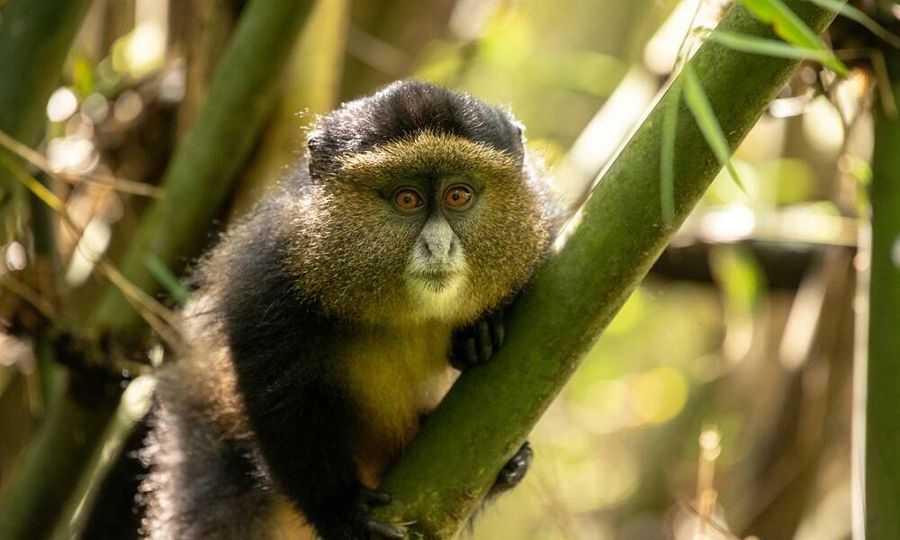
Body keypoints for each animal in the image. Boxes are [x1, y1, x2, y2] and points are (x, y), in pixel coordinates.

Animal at [139, 80, 559, 540]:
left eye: (458, 195)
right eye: (407, 199)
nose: (439, 246)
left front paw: (481, 328)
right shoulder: (269, 278)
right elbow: (279, 397)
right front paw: (340, 511)